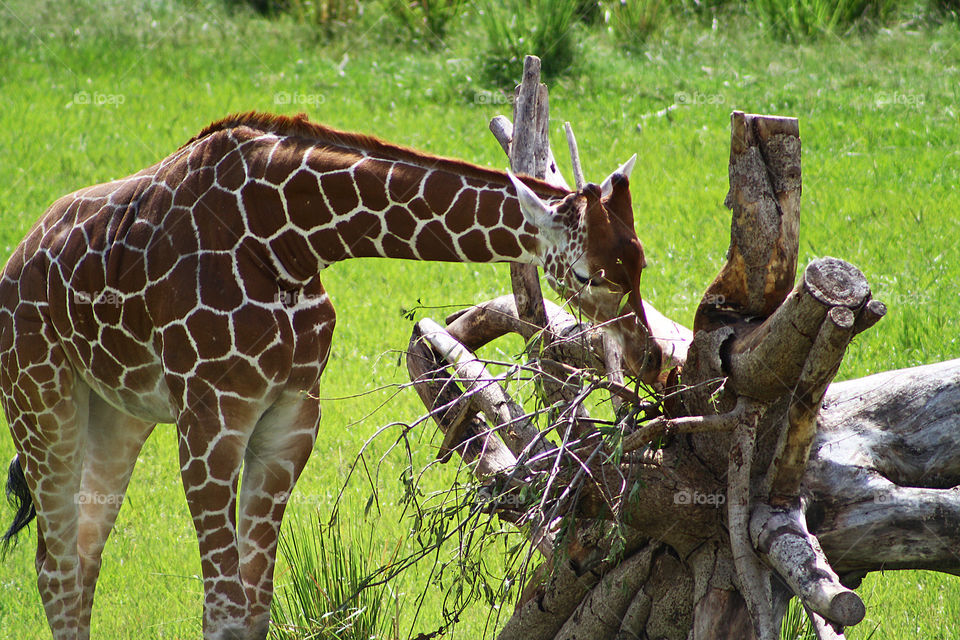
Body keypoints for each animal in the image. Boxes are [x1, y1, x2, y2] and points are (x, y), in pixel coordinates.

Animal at [0, 112, 656, 636]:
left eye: (641, 260)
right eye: (591, 275)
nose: (647, 355)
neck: (288, 240)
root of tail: (19, 255)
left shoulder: (291, 417)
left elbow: (254, 609)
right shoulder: (209, 417)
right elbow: (224, 607)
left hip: (115, 414)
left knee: (82, 557)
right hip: (40, 402)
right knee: (55, 568)